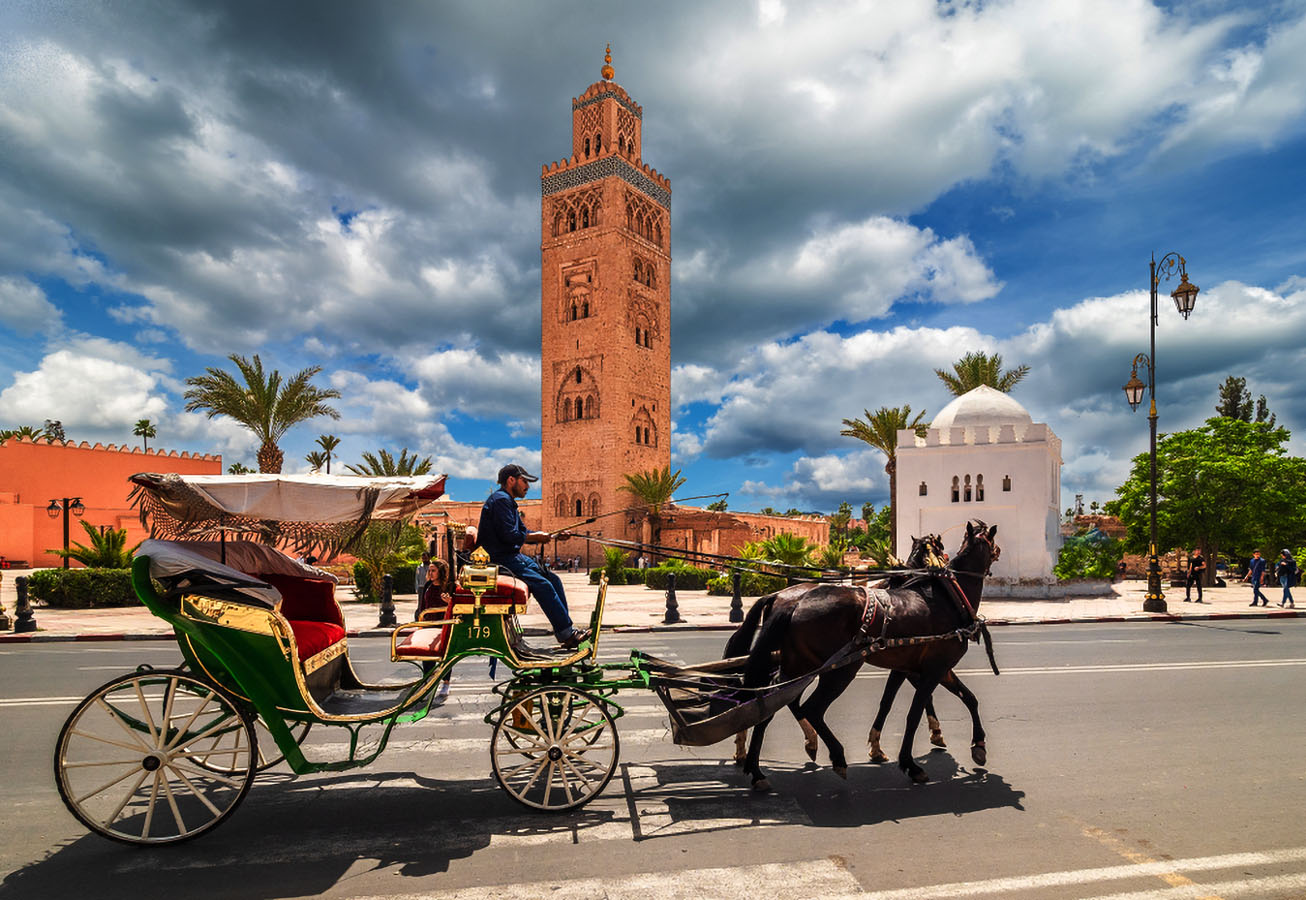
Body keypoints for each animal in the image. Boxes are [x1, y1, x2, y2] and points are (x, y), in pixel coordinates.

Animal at [726, 519, 997, 783]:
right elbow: (916, 711)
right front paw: (915, 758)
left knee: (772, 699)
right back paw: (832, 755)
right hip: (838, 669)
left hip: (798, 664)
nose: (998, 551)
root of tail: (786, 601)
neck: (948, 598)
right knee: (808, 707)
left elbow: (898, 702)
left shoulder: (910, 667)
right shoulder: (935, 667)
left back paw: (758, 765)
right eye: (938, 548)